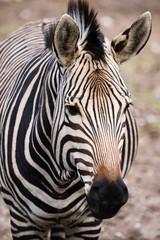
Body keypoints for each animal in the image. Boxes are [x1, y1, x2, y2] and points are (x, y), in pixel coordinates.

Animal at [0, 0, 151, 240]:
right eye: (71, 109)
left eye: (126, 107)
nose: (110, 195)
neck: (60, 179)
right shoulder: (23, 220)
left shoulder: (88, 221)